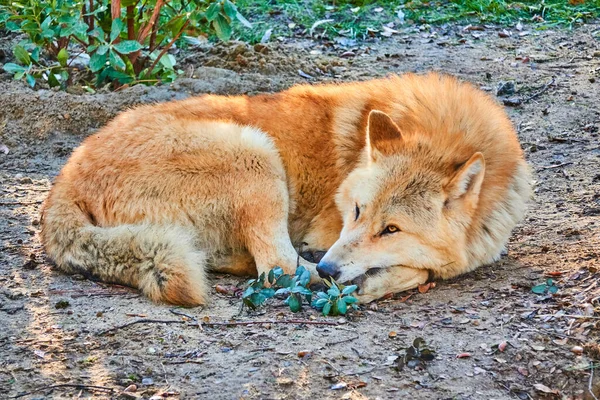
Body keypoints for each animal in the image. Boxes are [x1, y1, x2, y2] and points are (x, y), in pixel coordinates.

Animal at [41, 72, 528, 304]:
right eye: (356, 212)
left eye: (391, 229)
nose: (330, 269)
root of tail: (66, 178)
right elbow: (424, 270)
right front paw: (379, 281)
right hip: (256, 154)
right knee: (277, 268)